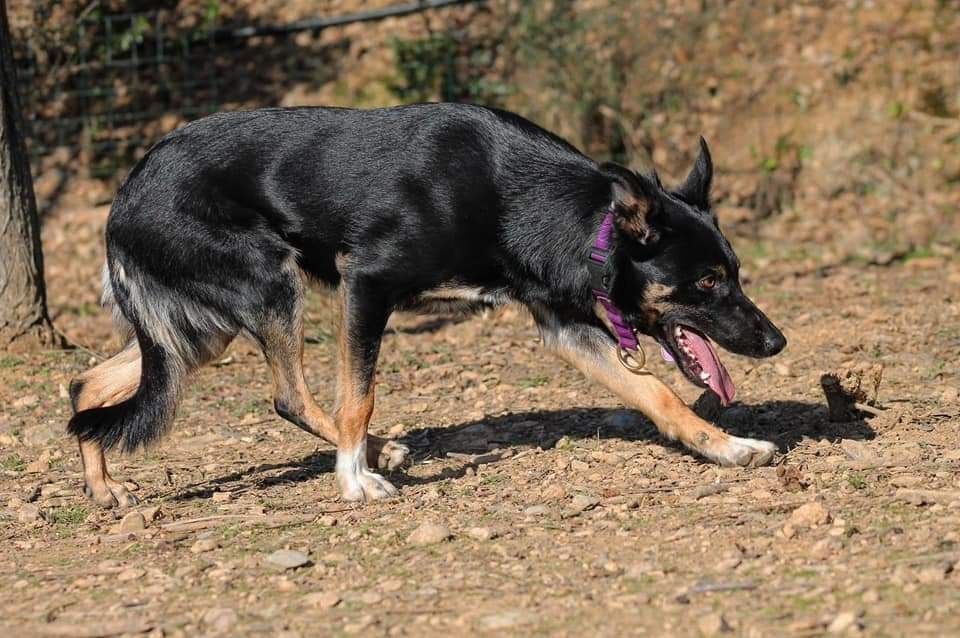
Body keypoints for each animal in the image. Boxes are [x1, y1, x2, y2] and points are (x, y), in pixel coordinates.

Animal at [69, 102, 788, 508]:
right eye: (707, 283)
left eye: (735, 275)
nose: (777, 342)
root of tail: (125, 196)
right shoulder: (366, 285)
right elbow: (357, 397)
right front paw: (354, 483)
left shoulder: (565, 328)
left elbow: (656, 394)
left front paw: (729, 448)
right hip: (268, 284)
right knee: (290, 396)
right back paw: (369, 458)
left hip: (200, 329)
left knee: (87, 386)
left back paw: (103, 488)